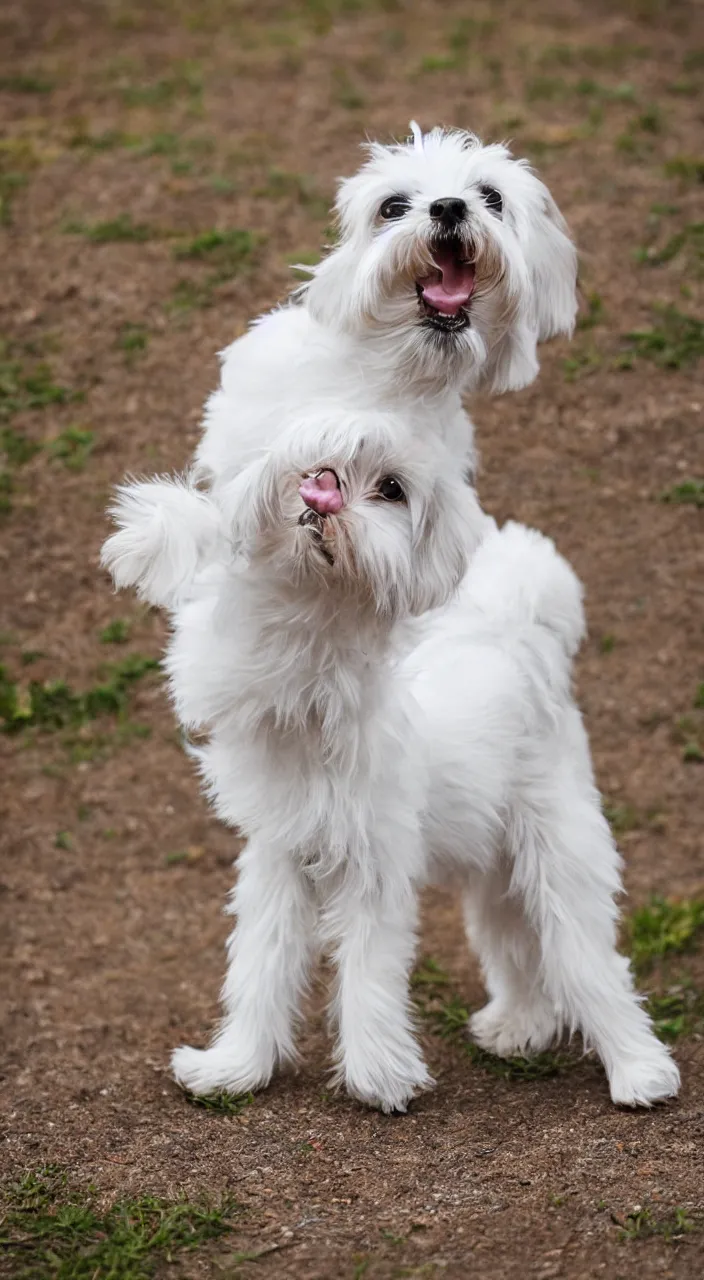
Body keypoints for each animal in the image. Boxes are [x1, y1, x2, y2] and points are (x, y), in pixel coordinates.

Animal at [102, 414, 680, 1116]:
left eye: (392, 490)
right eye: (321, 467)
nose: (322, 496)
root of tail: (517, 635)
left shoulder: (371, 872)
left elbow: (368, 974)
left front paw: (379, 1076)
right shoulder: (279, 862)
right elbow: (261, 967)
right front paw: (236, 1068)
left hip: (559, 858)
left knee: (588, 962)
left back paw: (640, 1072)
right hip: (496, 873)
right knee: (515, 949)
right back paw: (518, 1026)